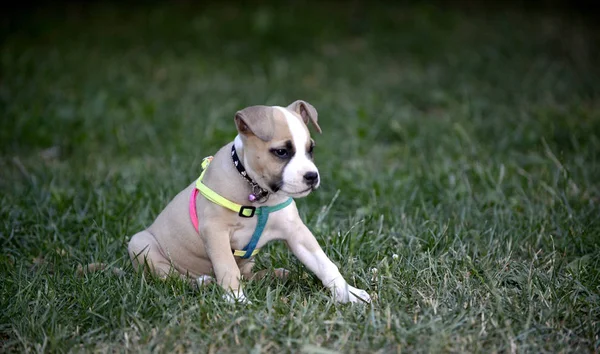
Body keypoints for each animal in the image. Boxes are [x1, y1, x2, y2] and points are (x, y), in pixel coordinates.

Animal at [126, 100, 370, 304]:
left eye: (311, 149)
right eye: (281, 152)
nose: (311, 177)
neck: (257, 193)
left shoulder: (296, 232)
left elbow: (325, 264)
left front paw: (349, 293)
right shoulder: (215, 232)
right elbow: (227, 268)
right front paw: (237, 301)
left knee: (247, 274)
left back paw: (275, 275)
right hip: (141, 244)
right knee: (172, 277)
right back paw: (202, 282)